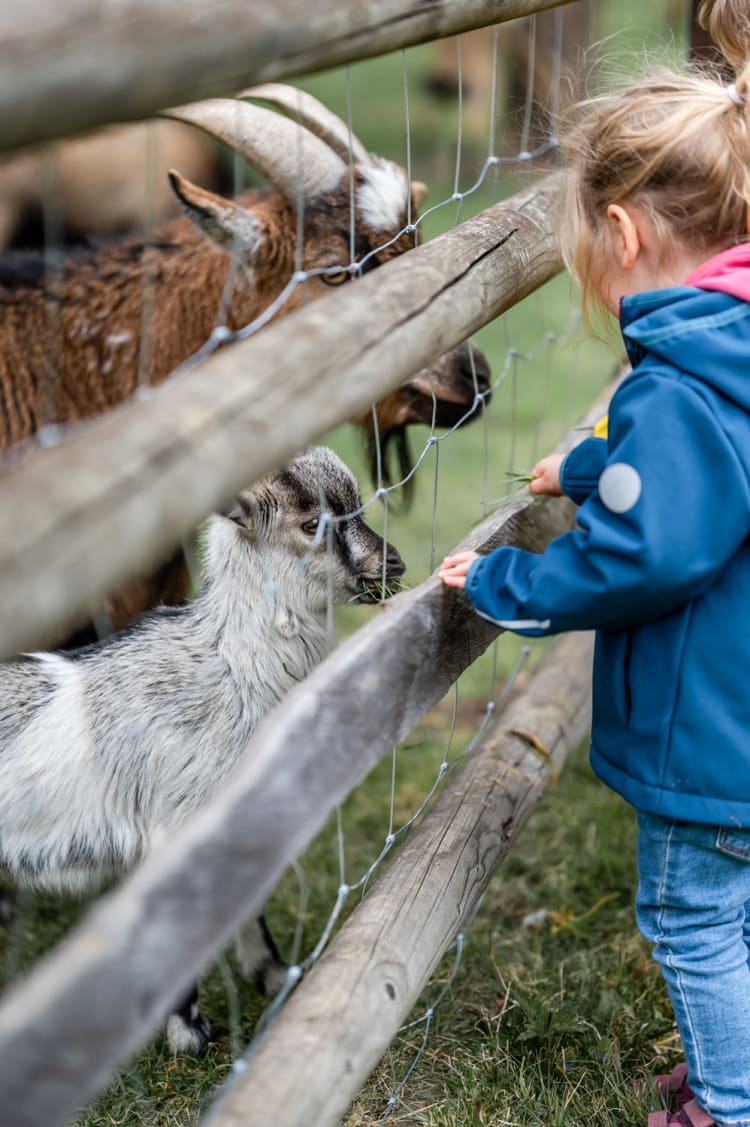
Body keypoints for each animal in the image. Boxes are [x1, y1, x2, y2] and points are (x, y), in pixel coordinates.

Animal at [0, 448, 403, 1054]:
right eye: (311, 524)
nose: (392, 566)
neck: (226, 667)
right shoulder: (174, 827)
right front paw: (189, 1033)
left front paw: (270, 974)